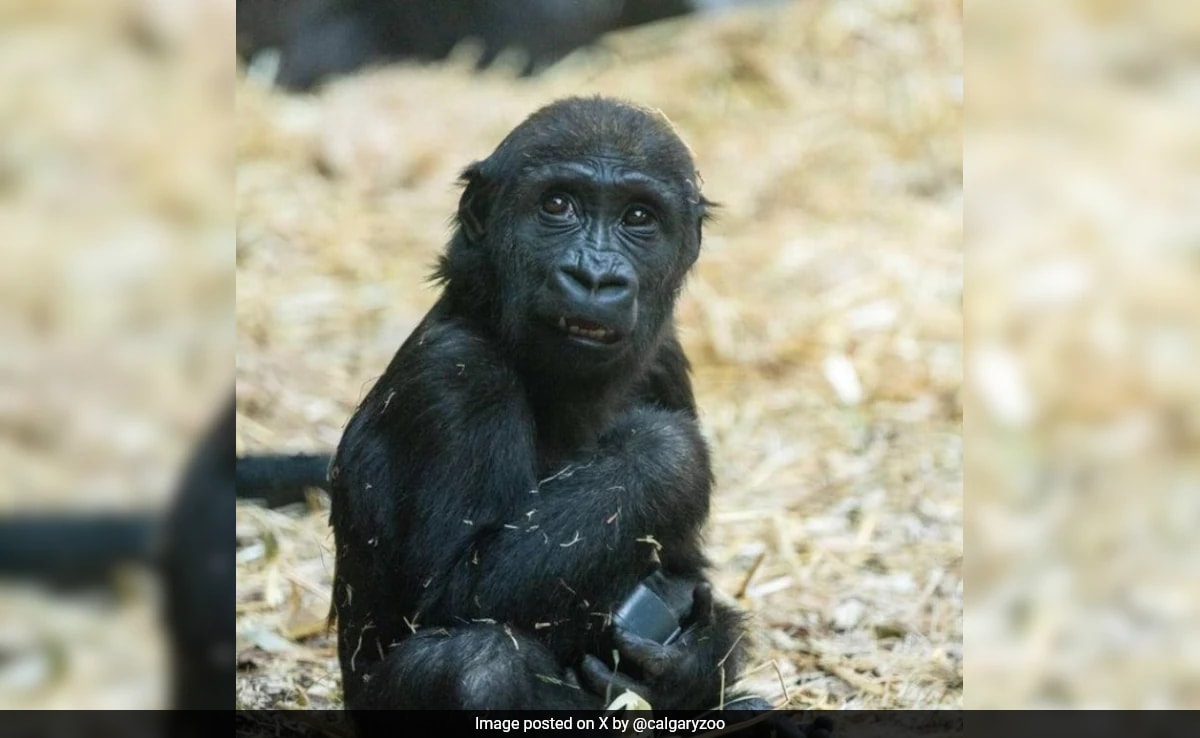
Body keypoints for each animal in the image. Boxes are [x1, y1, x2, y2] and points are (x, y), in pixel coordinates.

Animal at [331, 95, 777, 720]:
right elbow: (456, 589)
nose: (594, 277)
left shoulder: (665, 359)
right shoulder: (458, 373)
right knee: (478, 664)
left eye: (638, 217)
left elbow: (685, 571)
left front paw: (688, 661)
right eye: (558, 205)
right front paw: (665, 454)